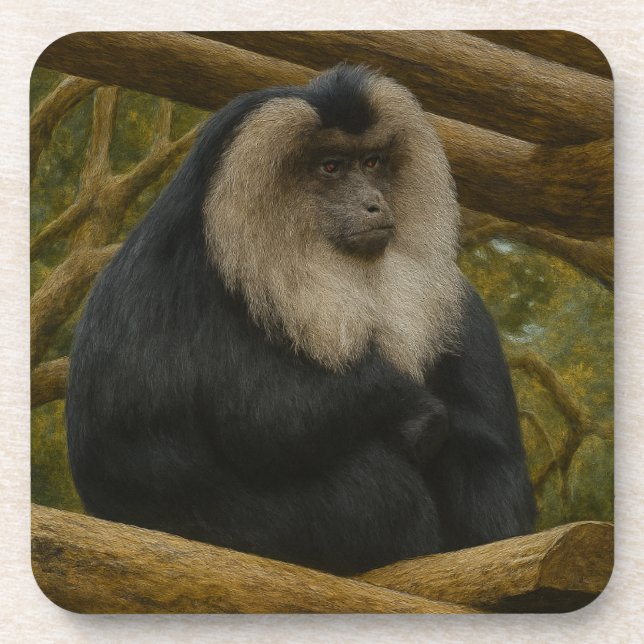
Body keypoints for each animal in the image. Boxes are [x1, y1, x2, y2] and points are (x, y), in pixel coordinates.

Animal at [66, 64, 535, 576]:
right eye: (331, 167)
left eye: (372, 162)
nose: (374, 204)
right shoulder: (173, 284)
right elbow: (264, 420)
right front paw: (411, 408)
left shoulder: (458, 305)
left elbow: (490, 456)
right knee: (378, 486)